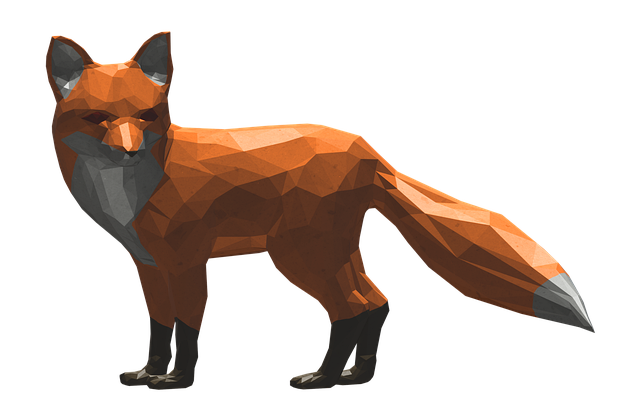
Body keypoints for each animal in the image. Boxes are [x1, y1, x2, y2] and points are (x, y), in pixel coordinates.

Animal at [44, 30, 593, 391]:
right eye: (97, 119)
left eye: (147, 116)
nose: (128, 151)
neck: (132, 189)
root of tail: (366, 148)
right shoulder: (150, 265)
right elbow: (160, 327)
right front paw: (149, 373)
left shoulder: (185, 263)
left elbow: (186, 325)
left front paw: (175, 382)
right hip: (327, 252)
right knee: (377, 302)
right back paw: (357, 375)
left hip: (300, 253)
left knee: (353, 307)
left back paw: (323, 379)